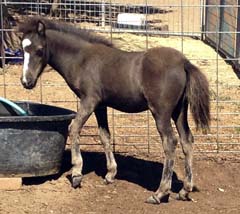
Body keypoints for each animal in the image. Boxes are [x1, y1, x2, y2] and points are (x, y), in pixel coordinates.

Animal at [19, 17, 210, 204]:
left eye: (39, 50)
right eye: (22, 50)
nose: (26, 82)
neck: (82, 59)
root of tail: (184, 62)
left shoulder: (89, 100)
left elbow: (74, 128)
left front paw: (76, 174)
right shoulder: (101, 105)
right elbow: (105, 136)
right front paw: (110, 174)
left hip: (161, 112)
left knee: (170, 142)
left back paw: (160, 193)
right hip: (179, 111)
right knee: (187, 140)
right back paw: (184, 190)